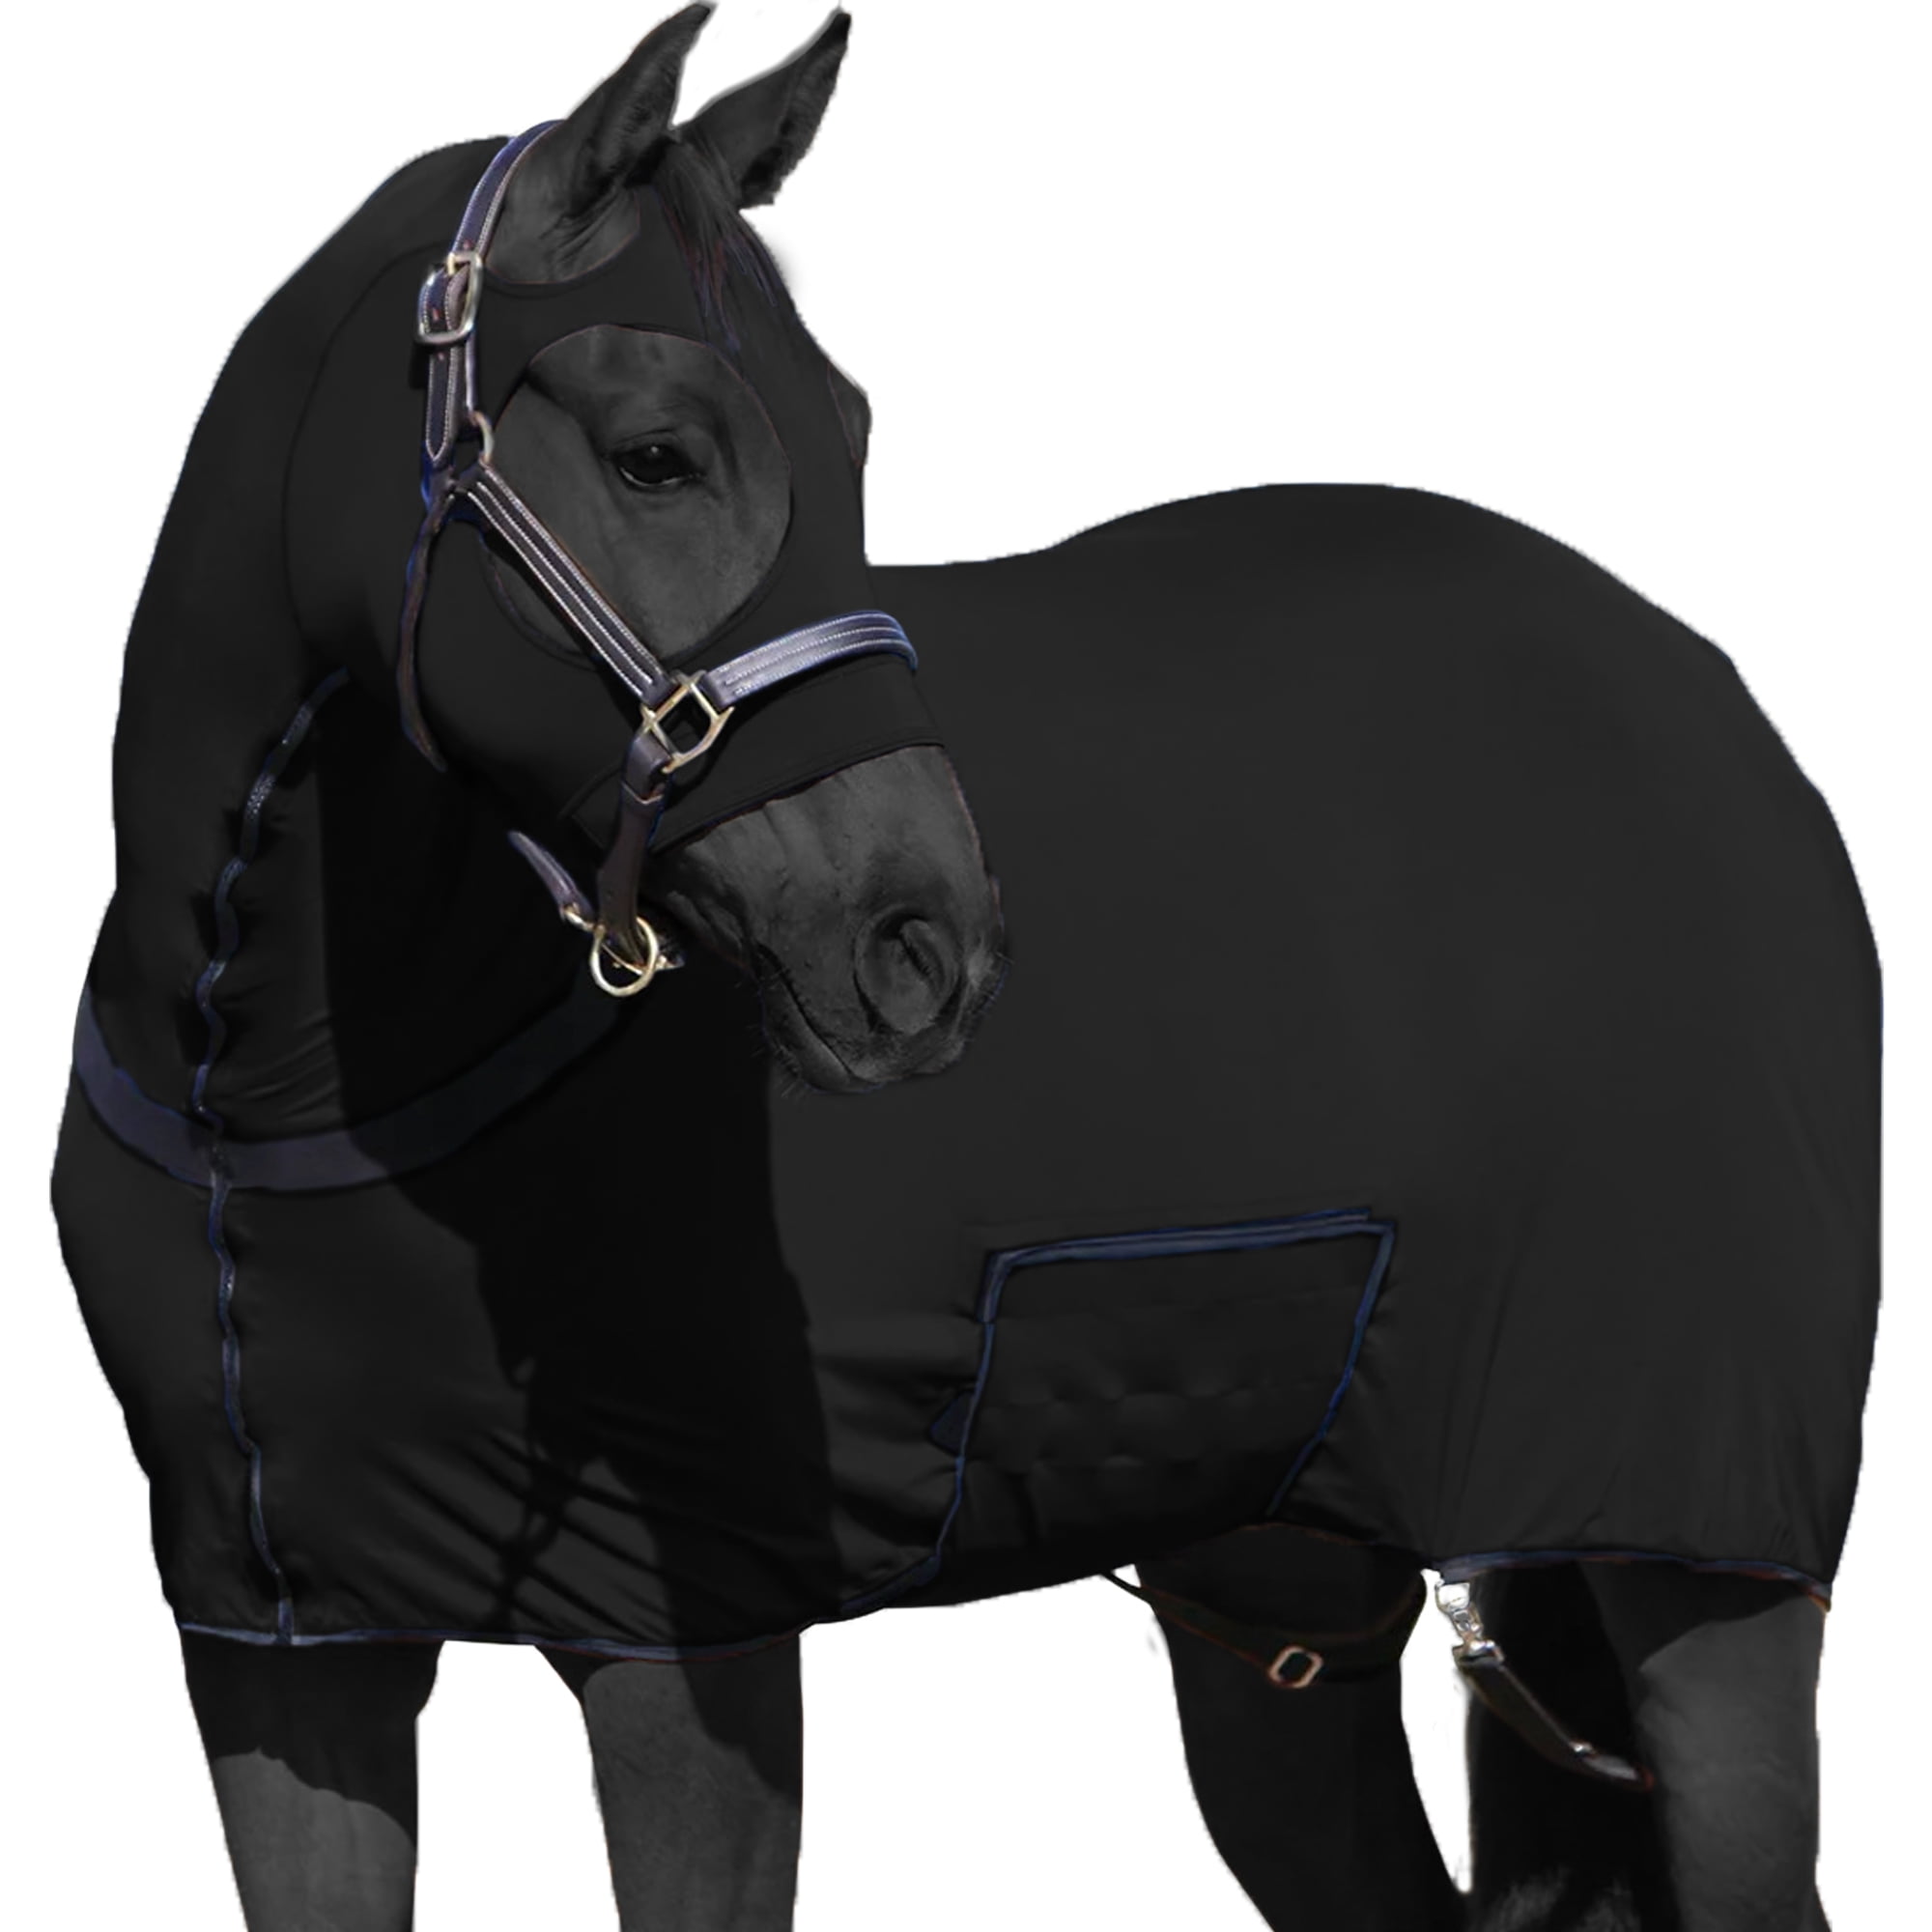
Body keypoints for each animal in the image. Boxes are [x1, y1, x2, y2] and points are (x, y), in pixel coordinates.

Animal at [51, 9, 1877, 1932]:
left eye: (852, 437)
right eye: (654, 454)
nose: (926, 944)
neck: (283, 1088)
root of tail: (1710, 702)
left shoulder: (685, 1638)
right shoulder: (284, 1649)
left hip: (1690, 1540)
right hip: (1281, 1588)